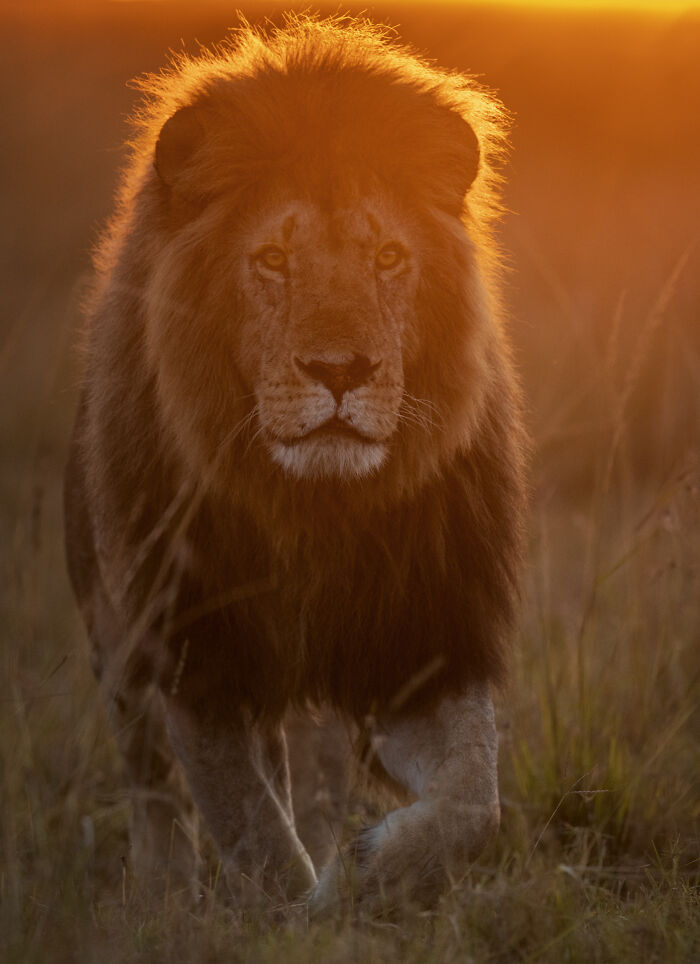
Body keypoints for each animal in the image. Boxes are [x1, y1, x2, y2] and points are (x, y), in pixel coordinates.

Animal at [64, 15, 526, 915]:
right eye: (273, 260)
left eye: (388, 258)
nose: (340, 371)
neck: (317, 507)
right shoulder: (196, 653)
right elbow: (251, 827)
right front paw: (300, 913)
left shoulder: (427, 639)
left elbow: (473, 801)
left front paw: (366, 872)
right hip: (115, 629)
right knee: (152, 783)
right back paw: (166, 894)